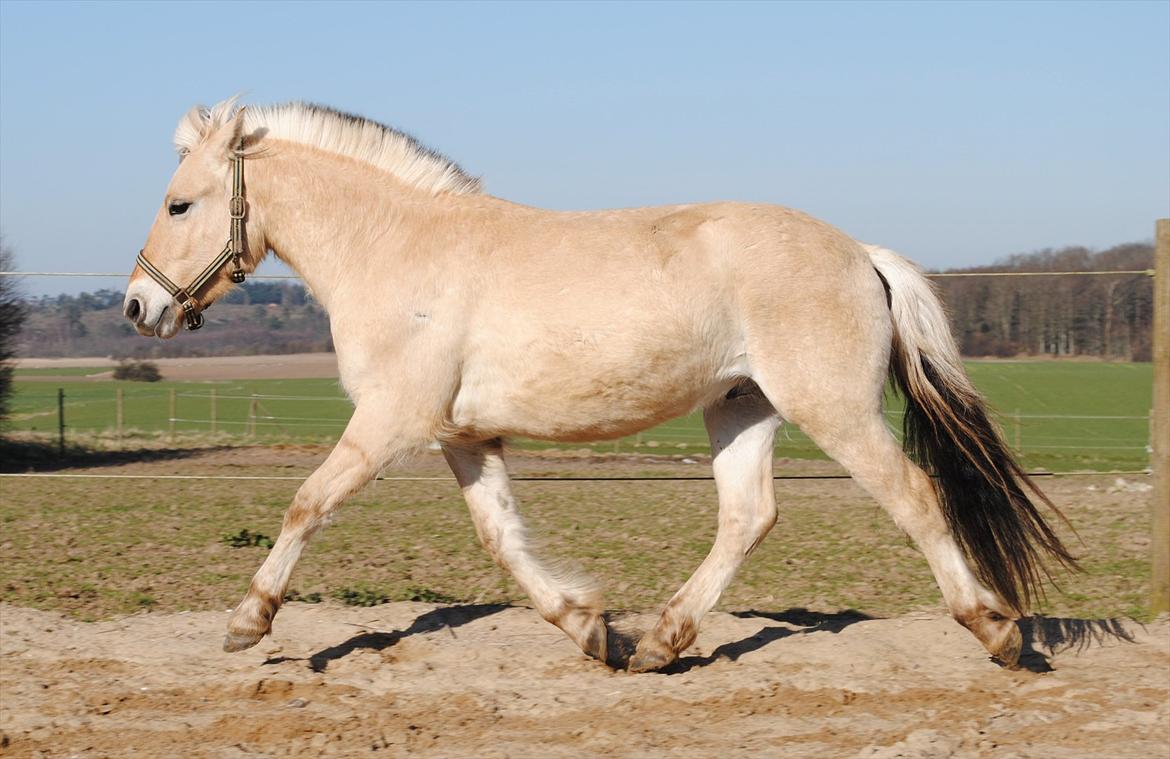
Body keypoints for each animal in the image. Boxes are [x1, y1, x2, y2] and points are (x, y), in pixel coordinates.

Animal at [123, 98, 1076, 672]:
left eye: (179, 204)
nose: (138, 306)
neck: (398, 251)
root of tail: (860, 252)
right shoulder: (463, 435)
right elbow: (501, 537)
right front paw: (591, 628)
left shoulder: (391, 420)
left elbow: (306, 503)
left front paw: (248, 622)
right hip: (742, 407)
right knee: (748, 515)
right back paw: (660, 642)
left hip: (831, 408)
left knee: (913, 496)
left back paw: (998, 631)